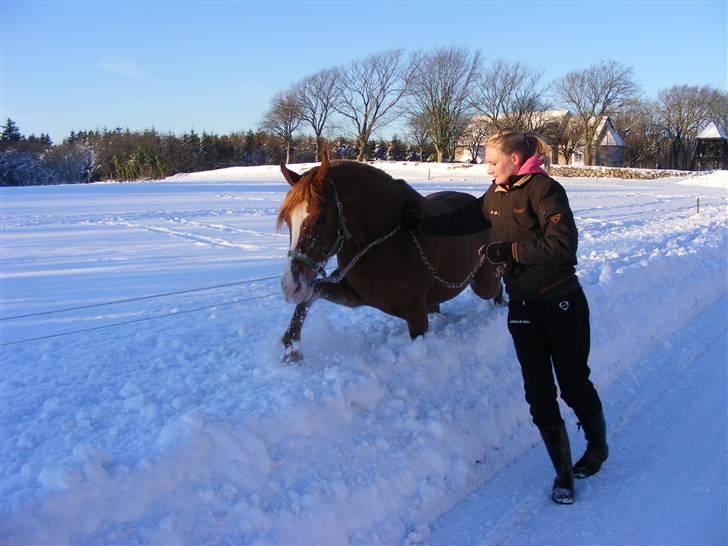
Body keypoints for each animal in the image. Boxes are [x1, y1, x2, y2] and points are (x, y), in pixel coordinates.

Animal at [278, 150, 500, 362]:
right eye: (287, 220)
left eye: (322, 218)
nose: (291, 287)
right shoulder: (355, 295)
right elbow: (311, 295)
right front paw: (292, 350)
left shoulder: (416, 316)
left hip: (483, 283)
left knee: (497, 289)